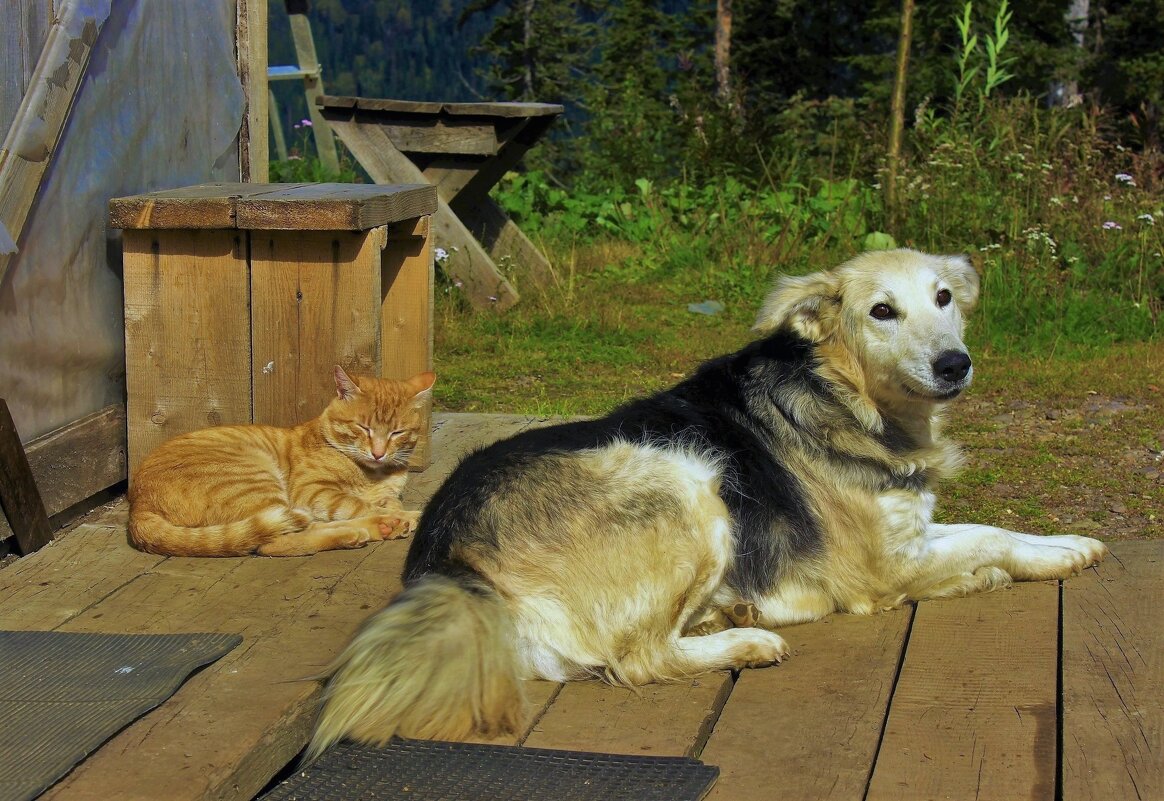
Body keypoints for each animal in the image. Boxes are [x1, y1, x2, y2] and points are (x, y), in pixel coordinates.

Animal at [127, 365, 435, 556]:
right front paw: (403, 517)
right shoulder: (314, 490)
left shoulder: (384, 492)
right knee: (276, 541)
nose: (378, 452)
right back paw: (371, 529)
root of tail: (138, 505)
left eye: (397, 432)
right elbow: (358, 504)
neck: (372, 473)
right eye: (363, 428)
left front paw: (395, 513)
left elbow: (387, 502)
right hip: (255, 481)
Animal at [307, 249, 1108, 759]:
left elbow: (988, 525)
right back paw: (746, 640)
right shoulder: (885, 567)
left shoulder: (914, 530)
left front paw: (1060, 544)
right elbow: (987, 538)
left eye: (943, 298)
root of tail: (446, 554)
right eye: (883, 311)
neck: (844, 395)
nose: (955, 363)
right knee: (639, 661)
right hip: (687, 478)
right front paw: (1033, 561)